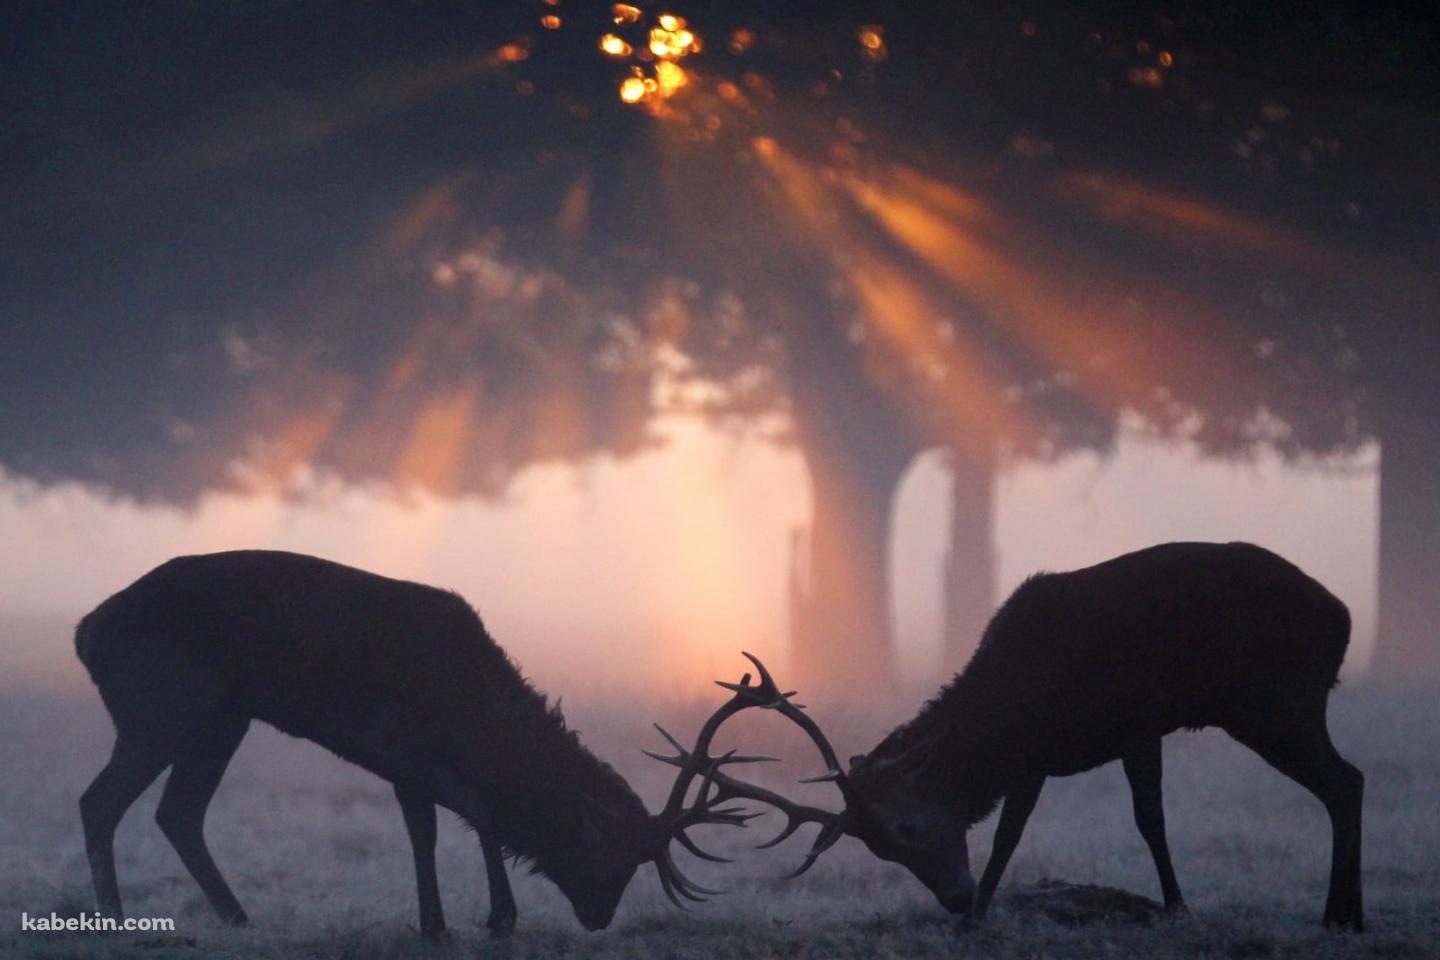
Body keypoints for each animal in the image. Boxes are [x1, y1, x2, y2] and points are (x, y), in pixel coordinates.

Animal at [76, 550, 787, 939]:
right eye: (610, 854)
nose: (599, 917)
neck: (467, 716)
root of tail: (85, 633)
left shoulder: (409, 762)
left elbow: (448, 825)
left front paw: (451, 921)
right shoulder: (400, 747)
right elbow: (465, 821)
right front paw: (483, 920)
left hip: (221, 719)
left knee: (177, 813)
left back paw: (238, 919)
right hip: (162, 707)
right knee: (99, 802)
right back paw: (115, 919)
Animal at [684, 543, 1366, 931]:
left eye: (910, 827)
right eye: (880, 852)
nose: (954, 899)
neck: (1015, 711)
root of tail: (1343, 618)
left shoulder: (1134, 724)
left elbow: (1144, 820)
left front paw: (1176, 906)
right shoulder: (1043, 756)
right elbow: (1019, 831)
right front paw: (980, 913)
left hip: (1276, 704)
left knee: (1346, 780)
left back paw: (1342, 916)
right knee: (1348, 780)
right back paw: (1346, 913)